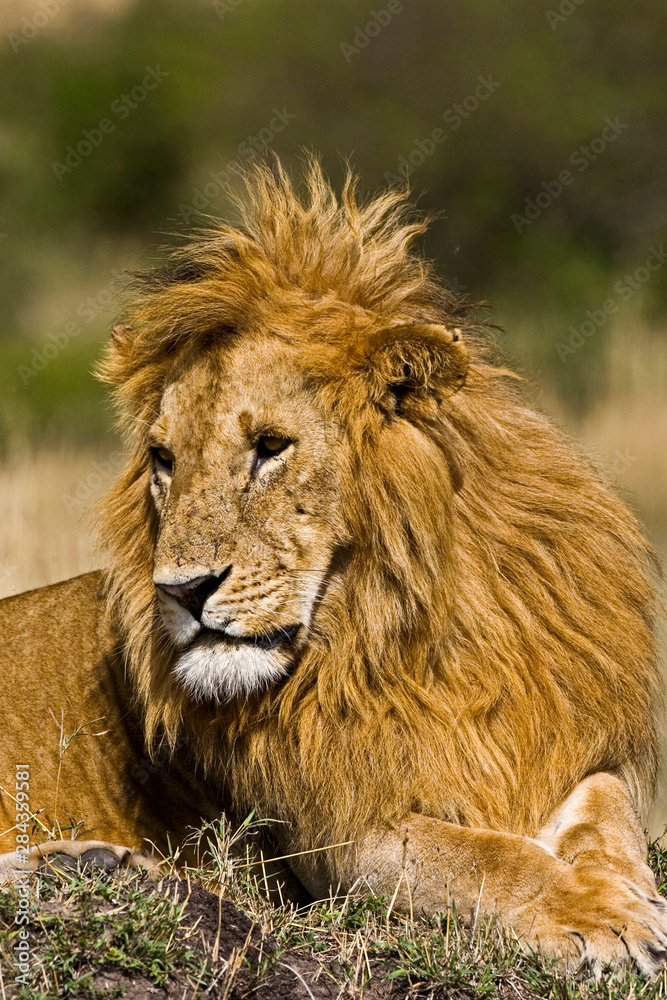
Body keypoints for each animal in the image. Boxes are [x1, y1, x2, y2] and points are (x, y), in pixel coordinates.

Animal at [1, 158, 667, 976]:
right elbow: (482, 861)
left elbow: (610, 817)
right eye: (164, 459)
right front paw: (597, 914)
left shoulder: (560, 742)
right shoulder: (337, 835)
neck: (403, 629)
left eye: (270, 447)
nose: (181, 591)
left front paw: (624, 893)